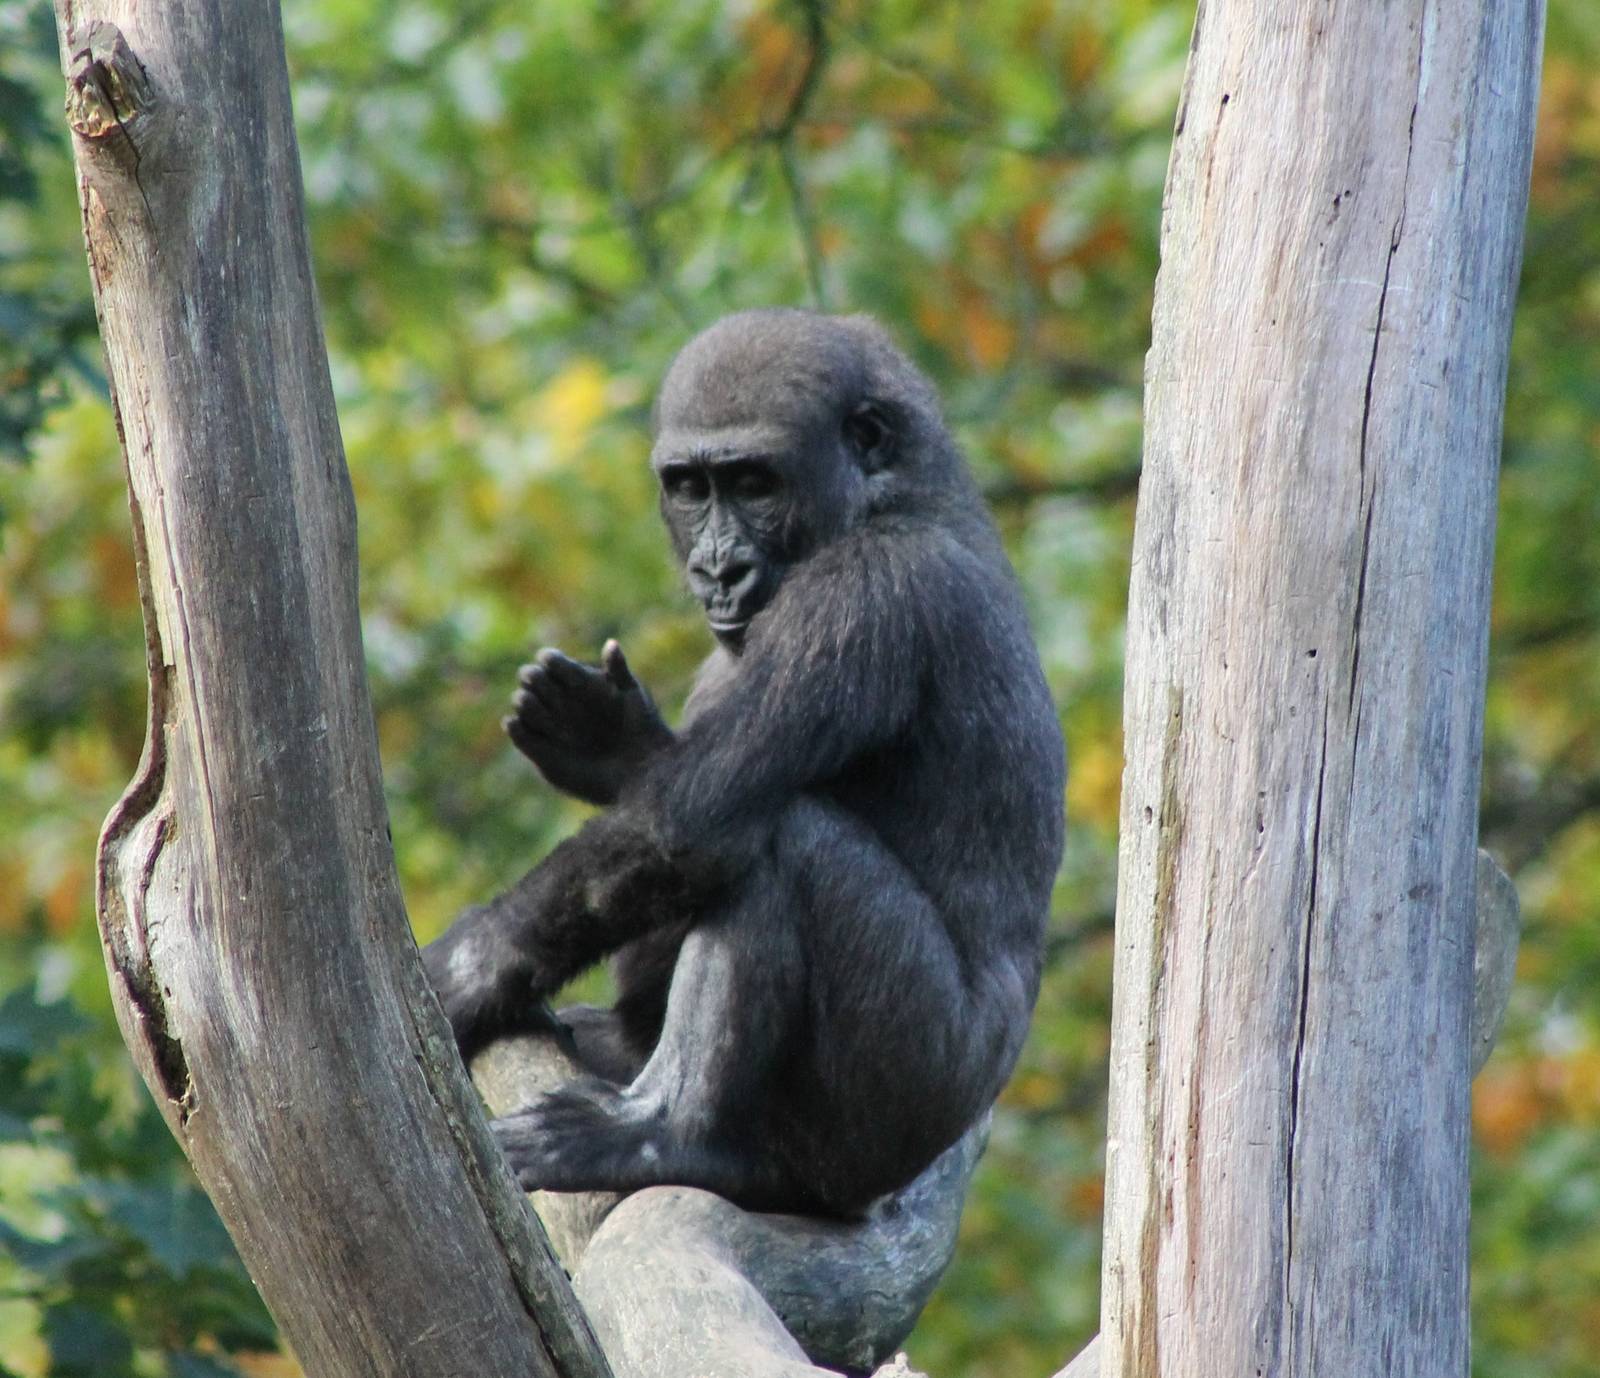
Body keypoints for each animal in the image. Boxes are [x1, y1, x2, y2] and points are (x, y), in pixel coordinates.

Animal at [422, 308, 1065, 1216]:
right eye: (691, 487)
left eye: (755, 482)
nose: (718, 568)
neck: (897, 494)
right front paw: (611, 740)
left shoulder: (865, 592)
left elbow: (685, 828)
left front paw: (466, 969)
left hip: (885, 1123)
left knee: (777, 840)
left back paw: (663, 1132)